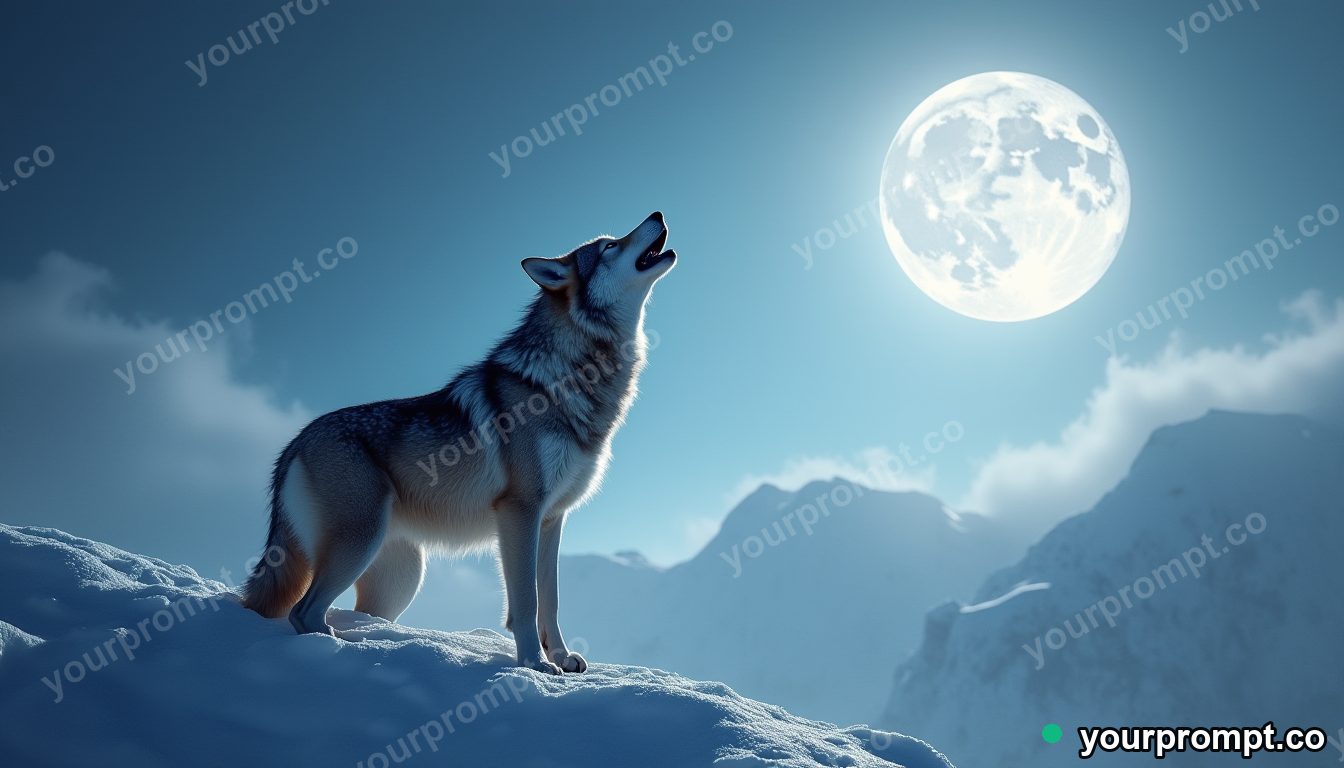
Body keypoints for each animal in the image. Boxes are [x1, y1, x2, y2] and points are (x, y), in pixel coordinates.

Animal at [241, 211, 676, 674]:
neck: (567, 380)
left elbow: (552, 602)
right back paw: (346, 650)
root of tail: (295, 443)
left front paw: (560, 659)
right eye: (610, 246)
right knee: (302, 613)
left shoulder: (552, 519)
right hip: (359, 545)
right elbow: (527, 601)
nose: (657, 214)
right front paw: (533, 664)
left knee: (336, 612)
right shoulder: (519, 512)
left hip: (399, 580)